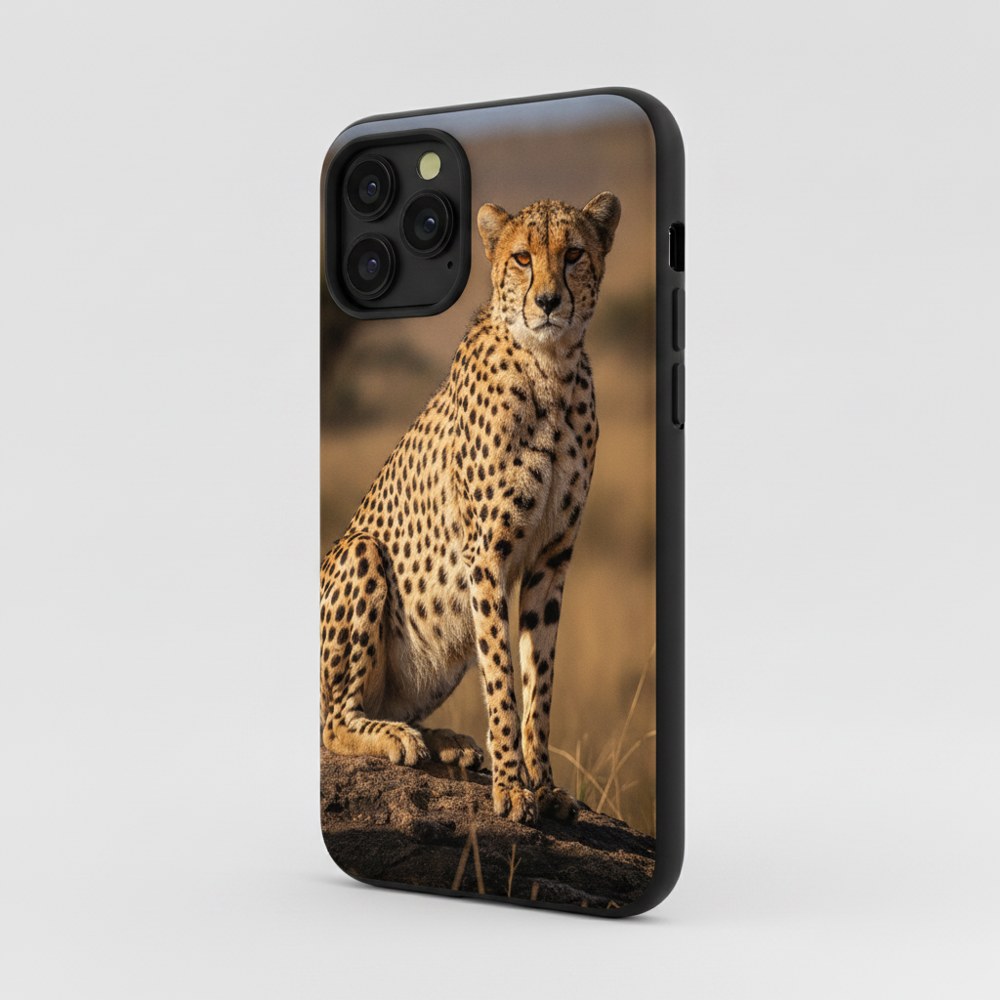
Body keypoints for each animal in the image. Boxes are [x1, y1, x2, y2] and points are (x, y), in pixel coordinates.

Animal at [320, 192, 621, 825]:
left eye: (574, 253)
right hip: (363, 551)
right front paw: (511, 787)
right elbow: (503, 677)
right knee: (331, 721)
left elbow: (539, 683)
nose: (548, 302)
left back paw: (444, 743)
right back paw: (395, 738)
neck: (551, 367)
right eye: (523, 257)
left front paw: (545, 786)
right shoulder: (486, 556)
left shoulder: (551, 560)